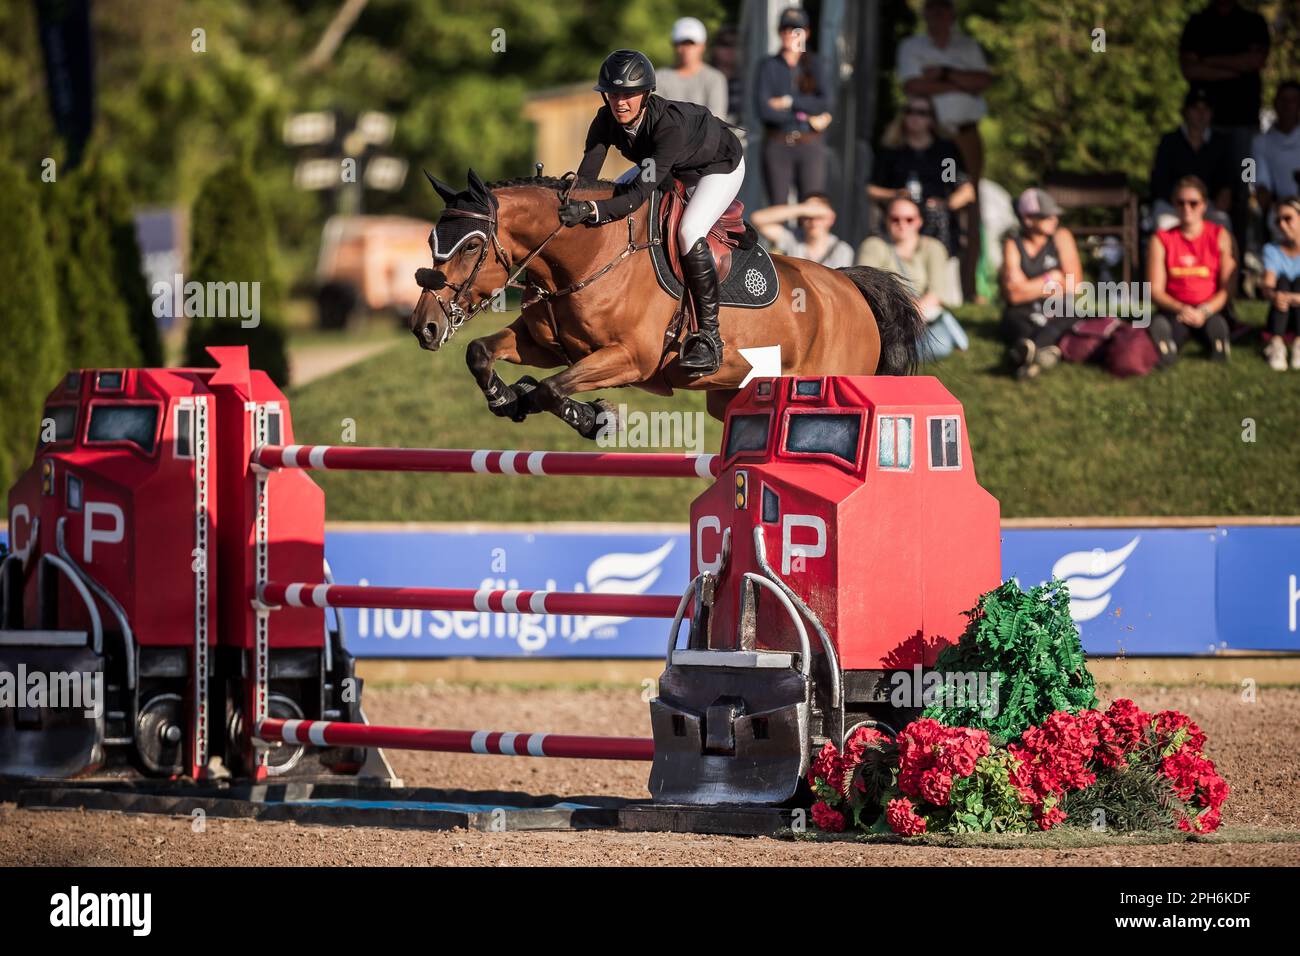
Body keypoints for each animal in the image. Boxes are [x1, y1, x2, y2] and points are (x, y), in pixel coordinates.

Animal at [408, 170, 925, 439]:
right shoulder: (546, 345)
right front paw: (505, 397)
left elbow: (552, 390)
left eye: (472, 247)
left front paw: (596, 420)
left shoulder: (630, 358)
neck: (587, 256)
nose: (424, 328)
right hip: (729, 398)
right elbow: (481, 352)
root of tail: (848, 286)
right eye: (433, 240)